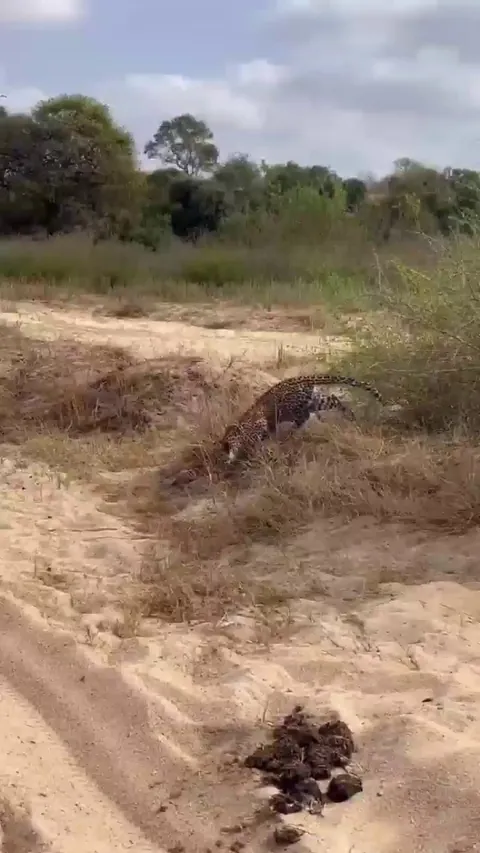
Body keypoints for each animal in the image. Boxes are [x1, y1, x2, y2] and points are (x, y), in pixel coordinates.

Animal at [221, 373, 382, 463]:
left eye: (226, 447)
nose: (226, 456)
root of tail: (303, 378)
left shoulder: (258, 424)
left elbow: (258, 437)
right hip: (315, 401)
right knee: (334, 399)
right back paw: (350, 415)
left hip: (294, 406)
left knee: (304, 416)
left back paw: (293, 431)